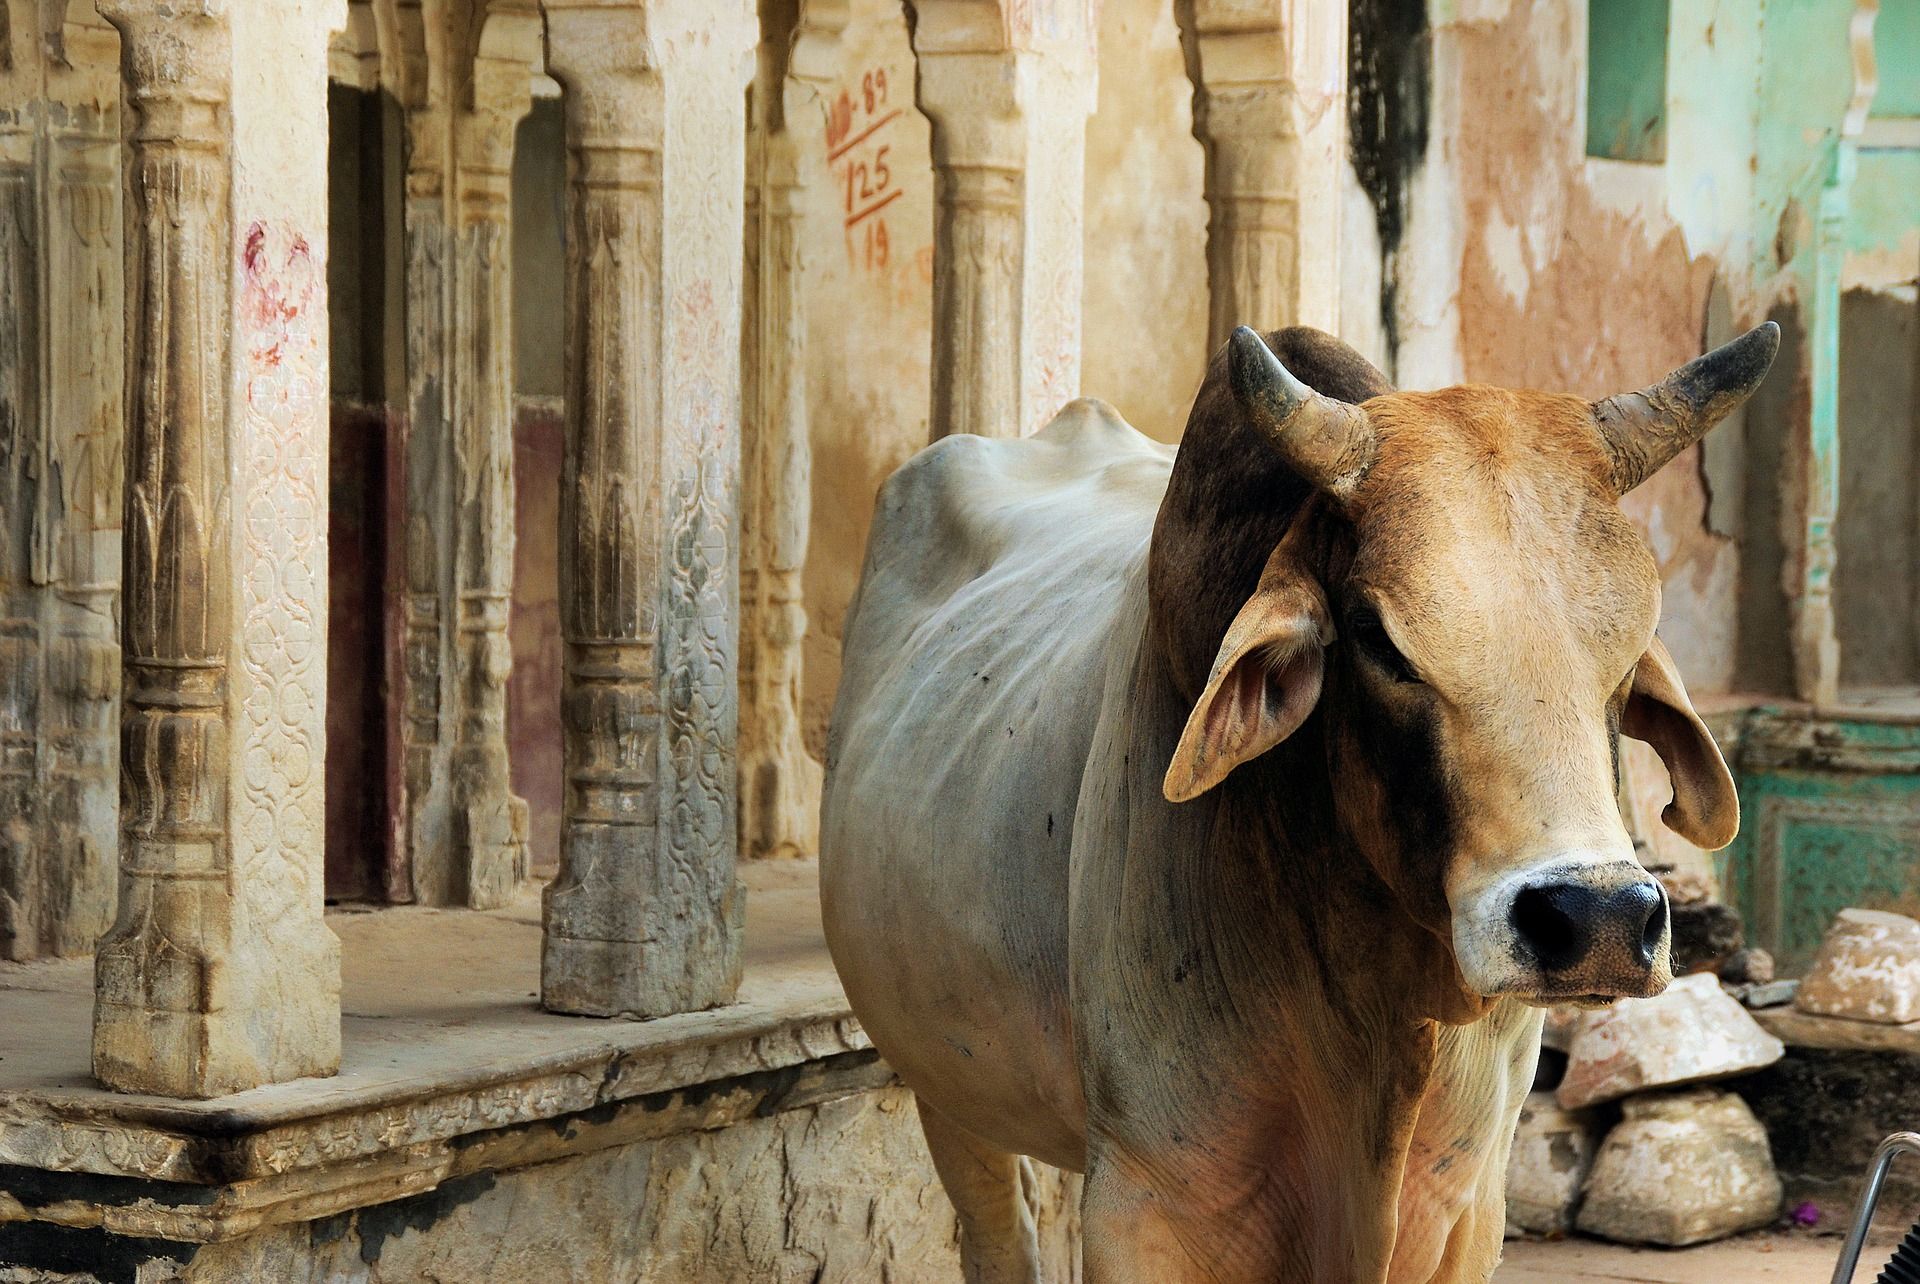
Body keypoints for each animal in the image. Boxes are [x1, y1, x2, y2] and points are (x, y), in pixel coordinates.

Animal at [819, 322, 1777, 1283]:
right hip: (942, 1083)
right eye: (1377, 639)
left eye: (1632, 646)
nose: (1599, 920)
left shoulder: (1468, 1207)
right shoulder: (1146, 1201)